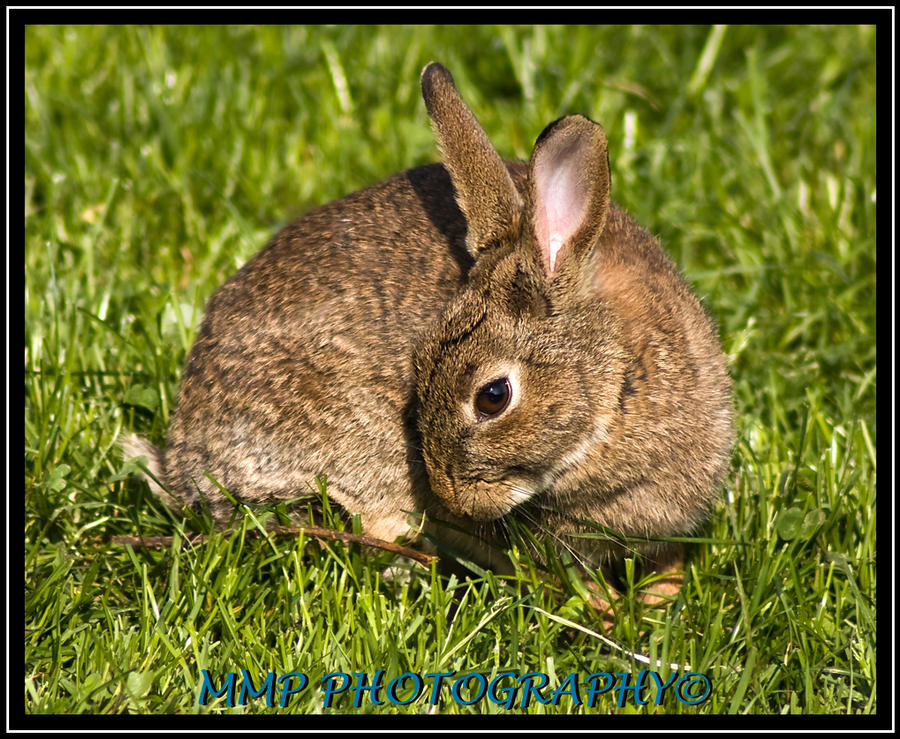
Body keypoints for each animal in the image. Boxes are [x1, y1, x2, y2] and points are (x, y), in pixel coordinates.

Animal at [123, 62, 734, 599]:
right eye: (418, 376)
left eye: (493, 397)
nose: (455, 499)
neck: (615, 385)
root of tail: (182, 462)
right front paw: (606, 606)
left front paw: (662, 598)